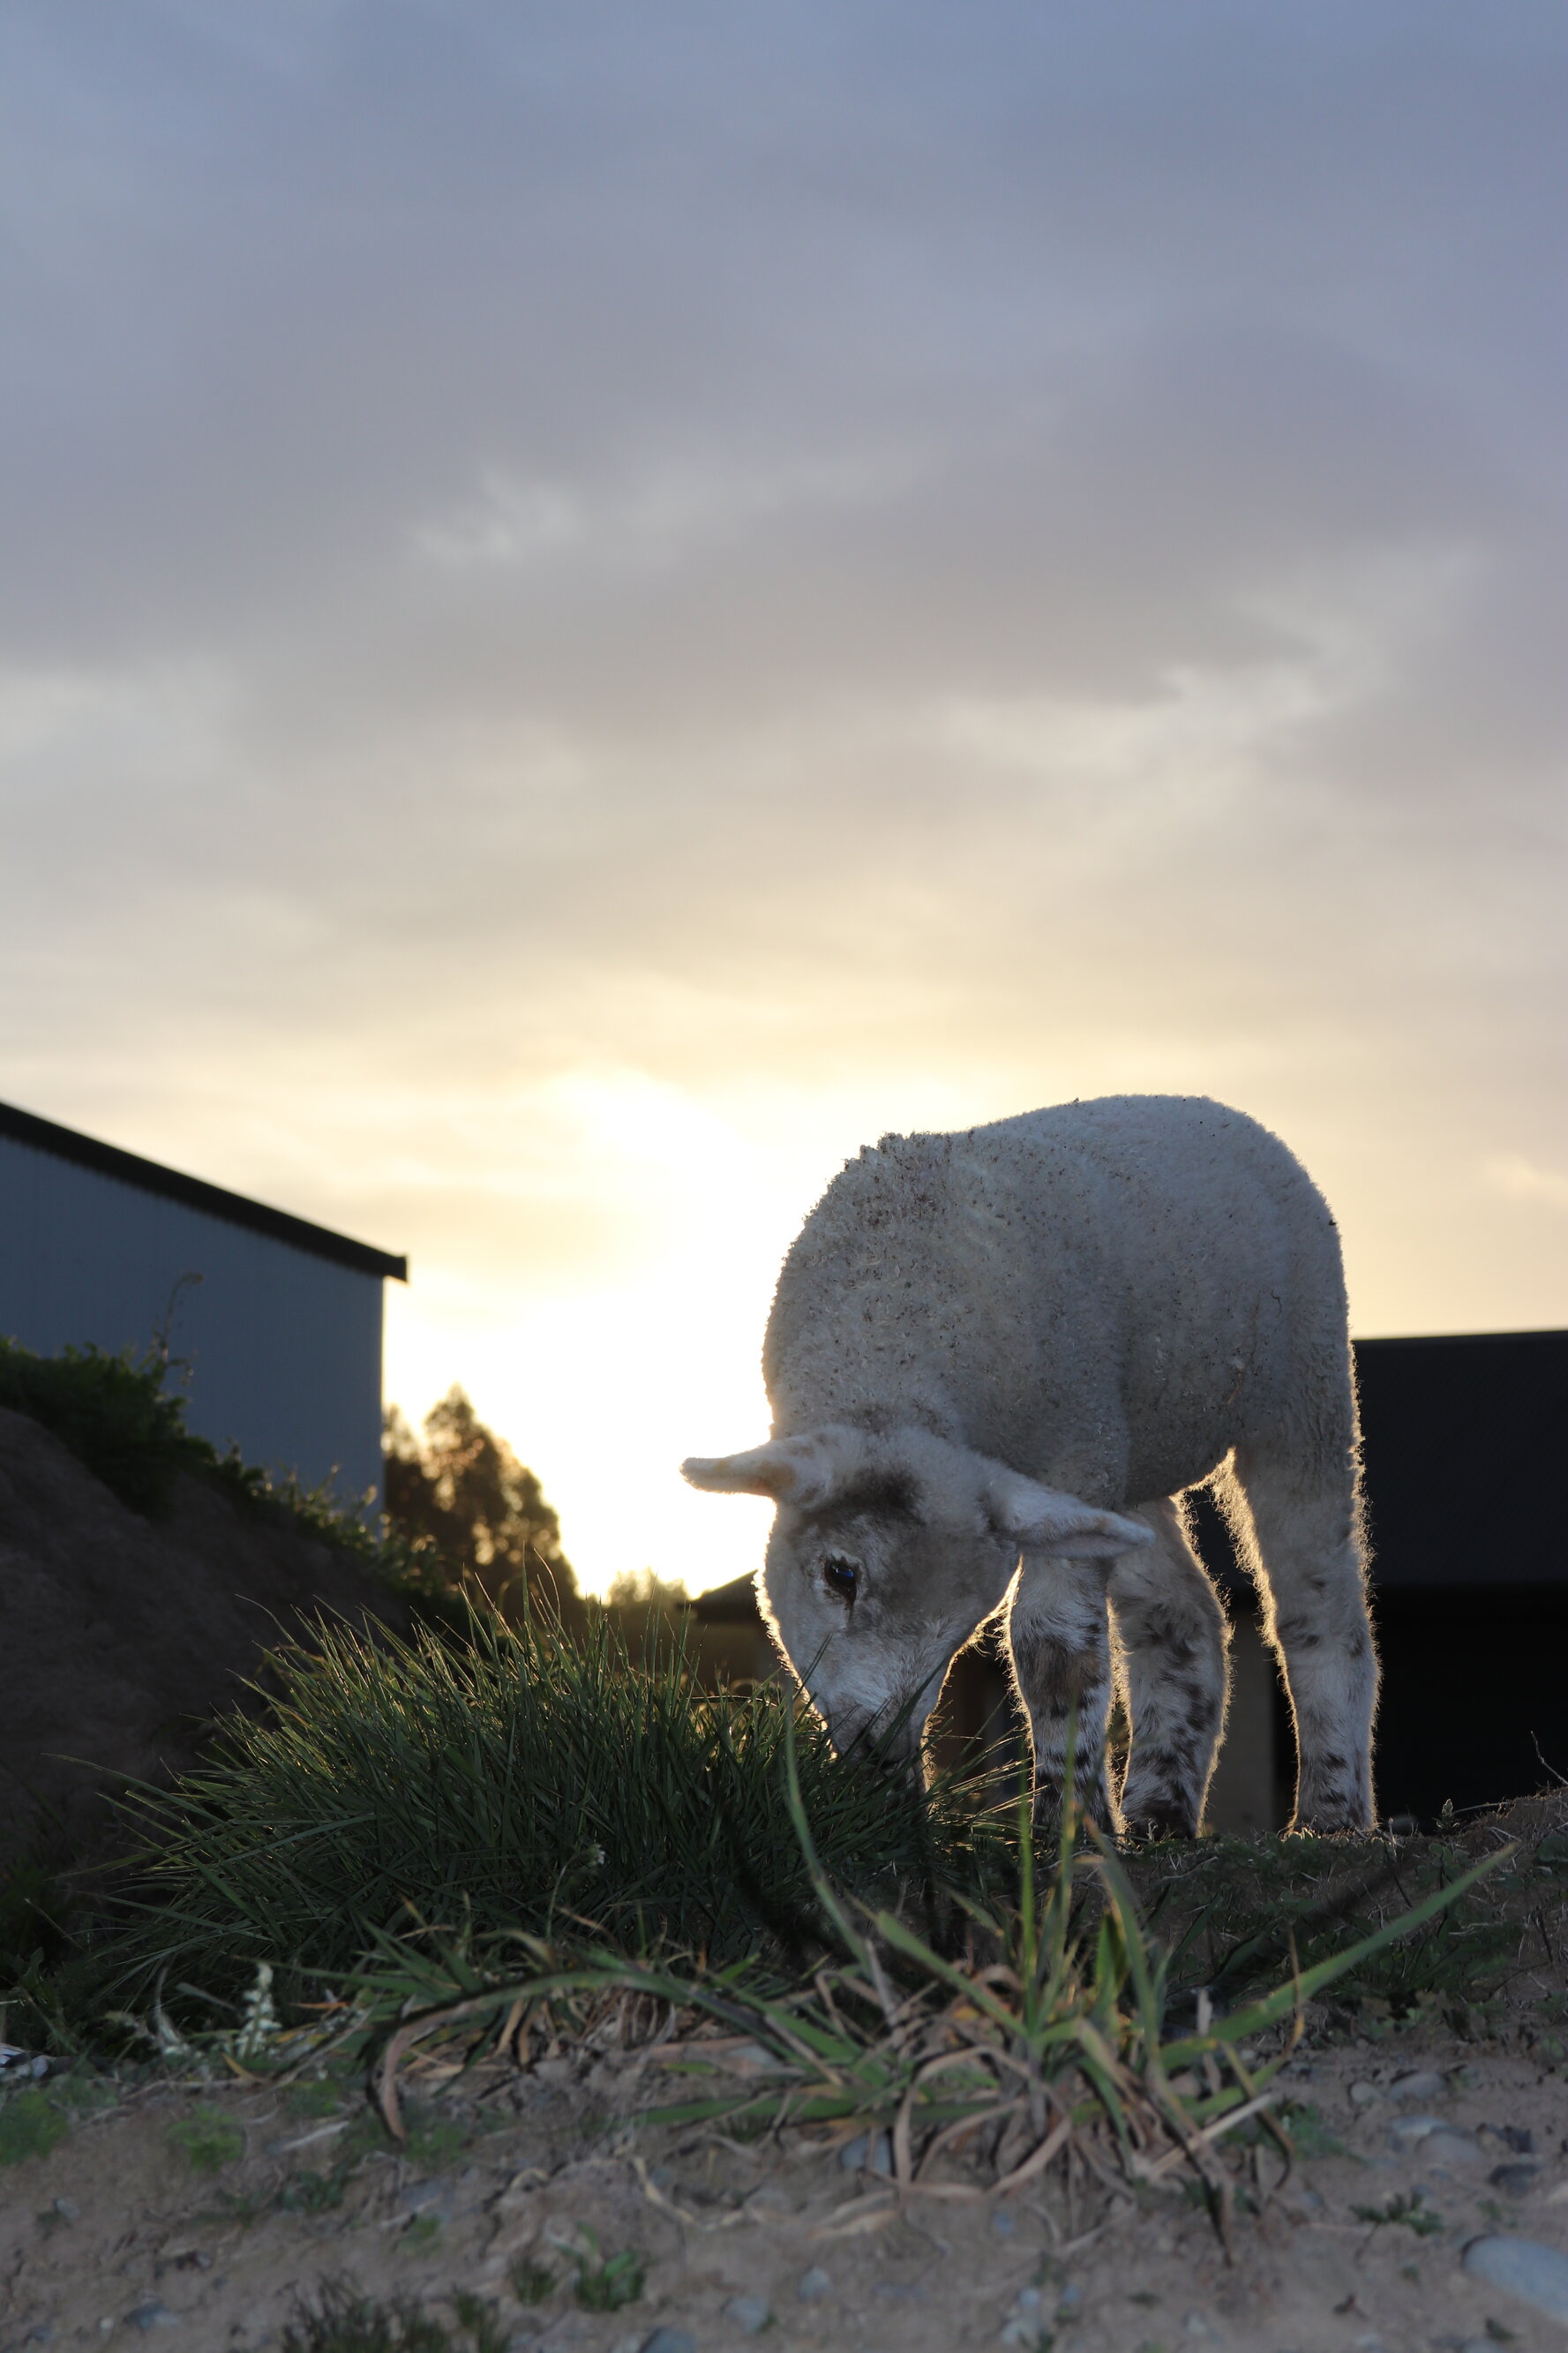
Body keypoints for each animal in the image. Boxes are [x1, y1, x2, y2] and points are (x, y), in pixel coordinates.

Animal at [683, 1094, 1377, 1837]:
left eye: (964, 1625)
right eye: (839, 1575)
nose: (880, 1750)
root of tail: (1220, 1112)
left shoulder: (1073, 1454)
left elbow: (1053, 1649)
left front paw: (1069, 1823)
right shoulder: (1080, 1464)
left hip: (1303, 1385)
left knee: (1316, 1600)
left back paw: (1330, 1811)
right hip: (1123, 1464)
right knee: (1180, 1614)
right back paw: (1159, 1809)